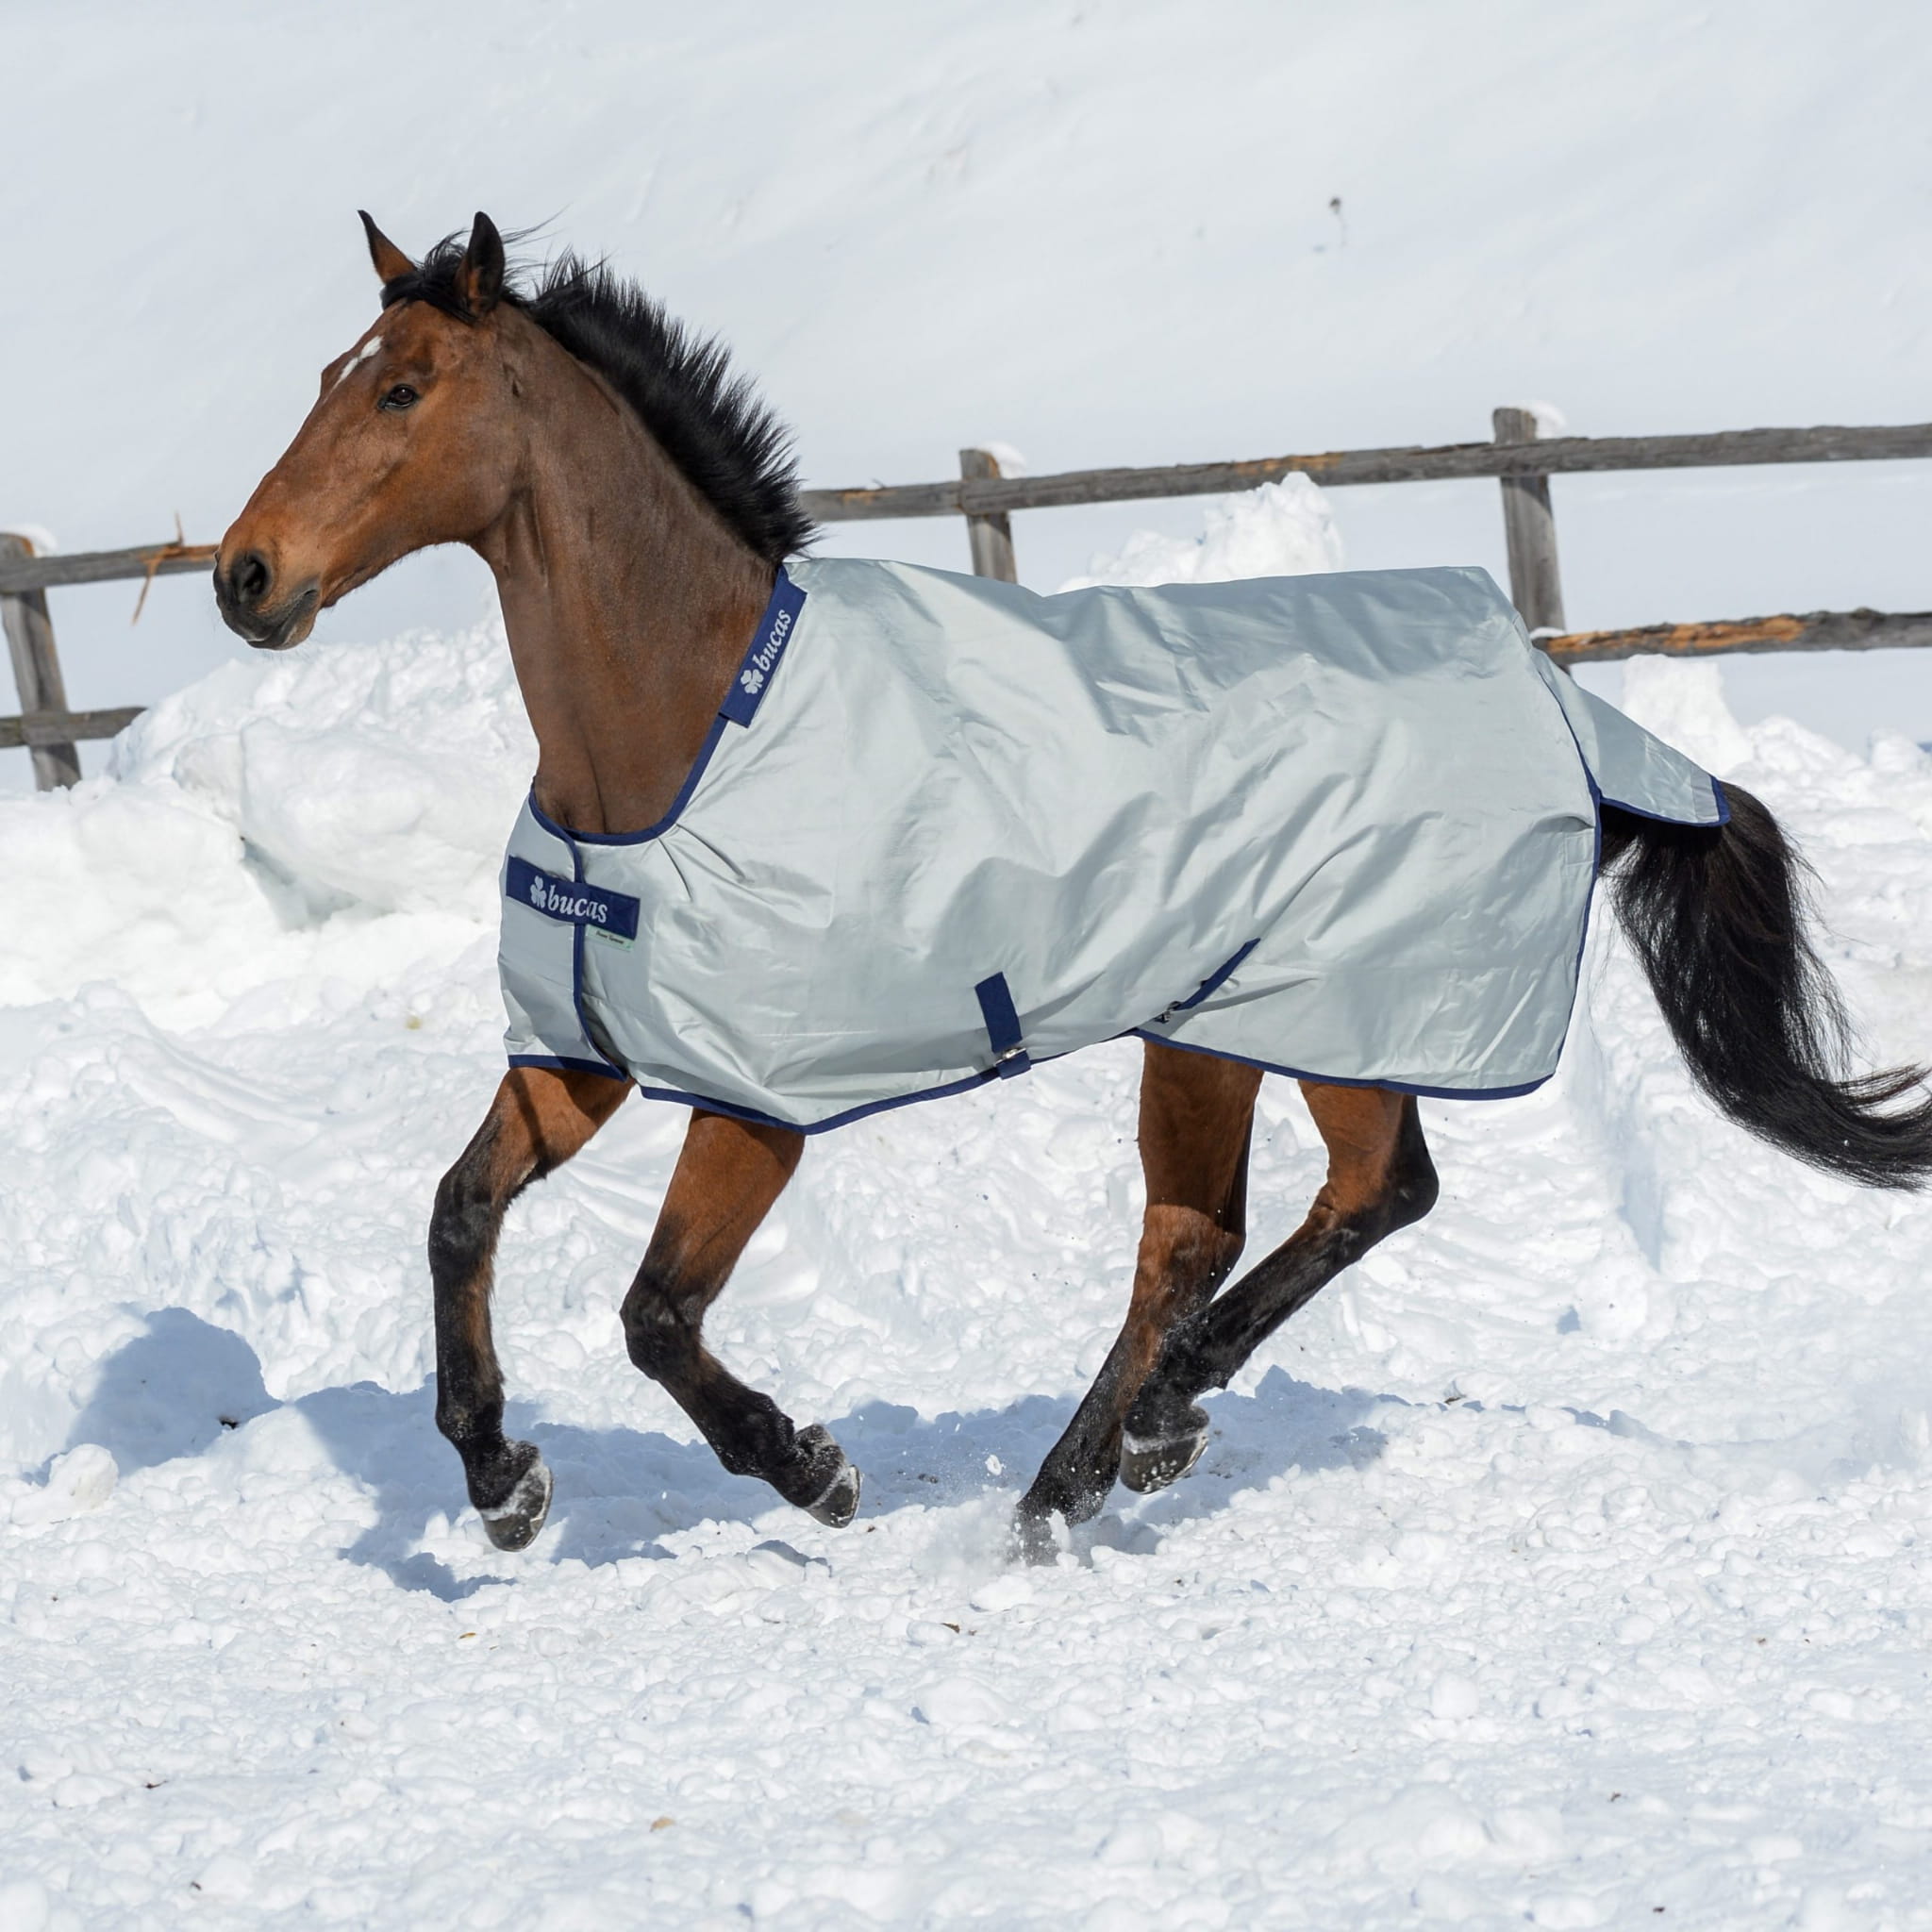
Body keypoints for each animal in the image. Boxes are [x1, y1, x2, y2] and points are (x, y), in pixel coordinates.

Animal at [215, 212, 1932, 1563]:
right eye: (322, 379)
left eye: (401, 386)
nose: (244, 577)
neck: (681, 734)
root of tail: (1560, 700)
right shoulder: (585, 1053)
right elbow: (458, 1213)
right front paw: (499, 1477)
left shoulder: (756, 1102)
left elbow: (654, 1314)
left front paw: (813, 1469)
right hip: (1232, 1025)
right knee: (1231, 1224)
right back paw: (1085, 1474)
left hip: (1301, 1011)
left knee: (1327, 1205)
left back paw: (1136, 1434)